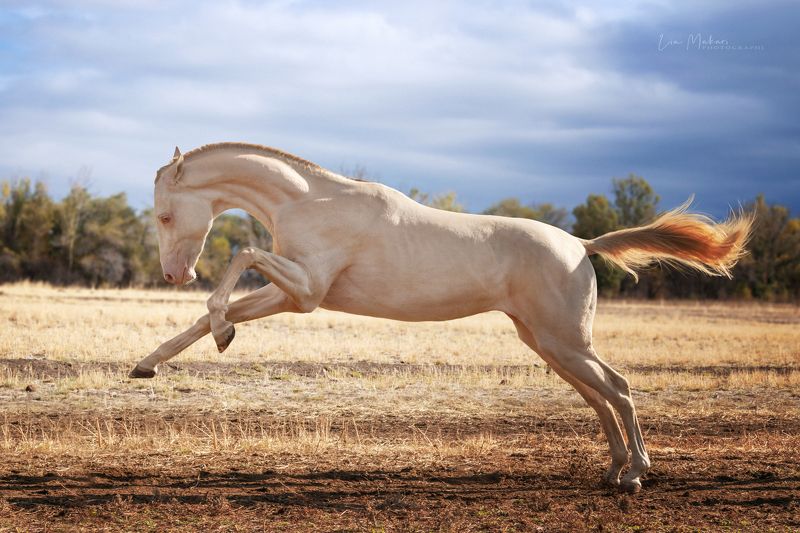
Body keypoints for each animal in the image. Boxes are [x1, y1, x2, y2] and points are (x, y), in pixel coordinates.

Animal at [129, 142, 752, 493]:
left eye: (164, 215)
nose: (175, 274)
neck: (311, 201)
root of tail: (580, 243)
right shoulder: (292, 294)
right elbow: (208, 315)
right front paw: (150, 364)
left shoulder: (304, 290)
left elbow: (242, 255)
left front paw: (221, 332)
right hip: (550, 345)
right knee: (600, 397)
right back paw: (614, 470)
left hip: (565, 343)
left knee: (618, 388)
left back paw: (636, 475)